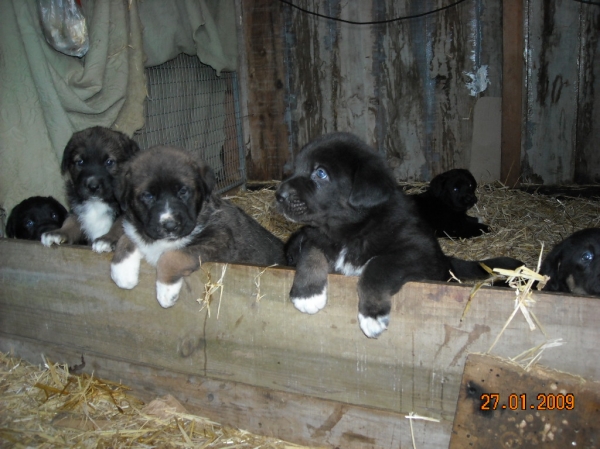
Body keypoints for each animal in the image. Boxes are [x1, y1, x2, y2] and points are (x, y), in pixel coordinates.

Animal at [111, 147, 288, 308]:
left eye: (183, 191)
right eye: (148, 195)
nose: (170, 226)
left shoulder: (218, 241)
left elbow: (171, 256)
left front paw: (166, 292)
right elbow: (127, 237)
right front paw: (122, 272)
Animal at [278, 131, 524, 338]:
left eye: (320, 173)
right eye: (296, 169)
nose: (278, 195)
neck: (350, 231)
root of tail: (447, 260)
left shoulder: (417, 252)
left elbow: (377, 265)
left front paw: (372, 316)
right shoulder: (316, 237)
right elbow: (310, 253)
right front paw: (307, 295)